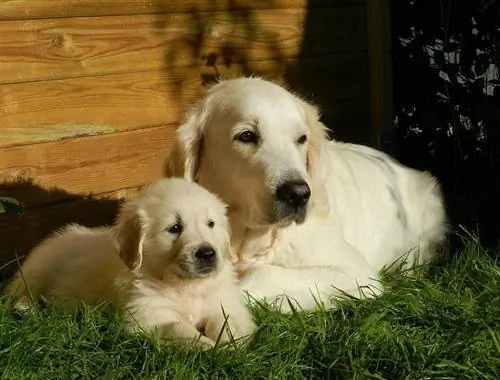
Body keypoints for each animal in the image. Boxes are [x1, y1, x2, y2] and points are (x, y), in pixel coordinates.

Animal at [5, 178, 258, 348]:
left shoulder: (225, 303)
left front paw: (228, 346)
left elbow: (226, 322)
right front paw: (207, 347)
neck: (185, 285)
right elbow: (178, 327)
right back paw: (26, 308)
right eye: (174, 228)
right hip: (39, 267)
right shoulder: (146, 317)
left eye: (211, 224)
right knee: (19, 290)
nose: (207, 253)